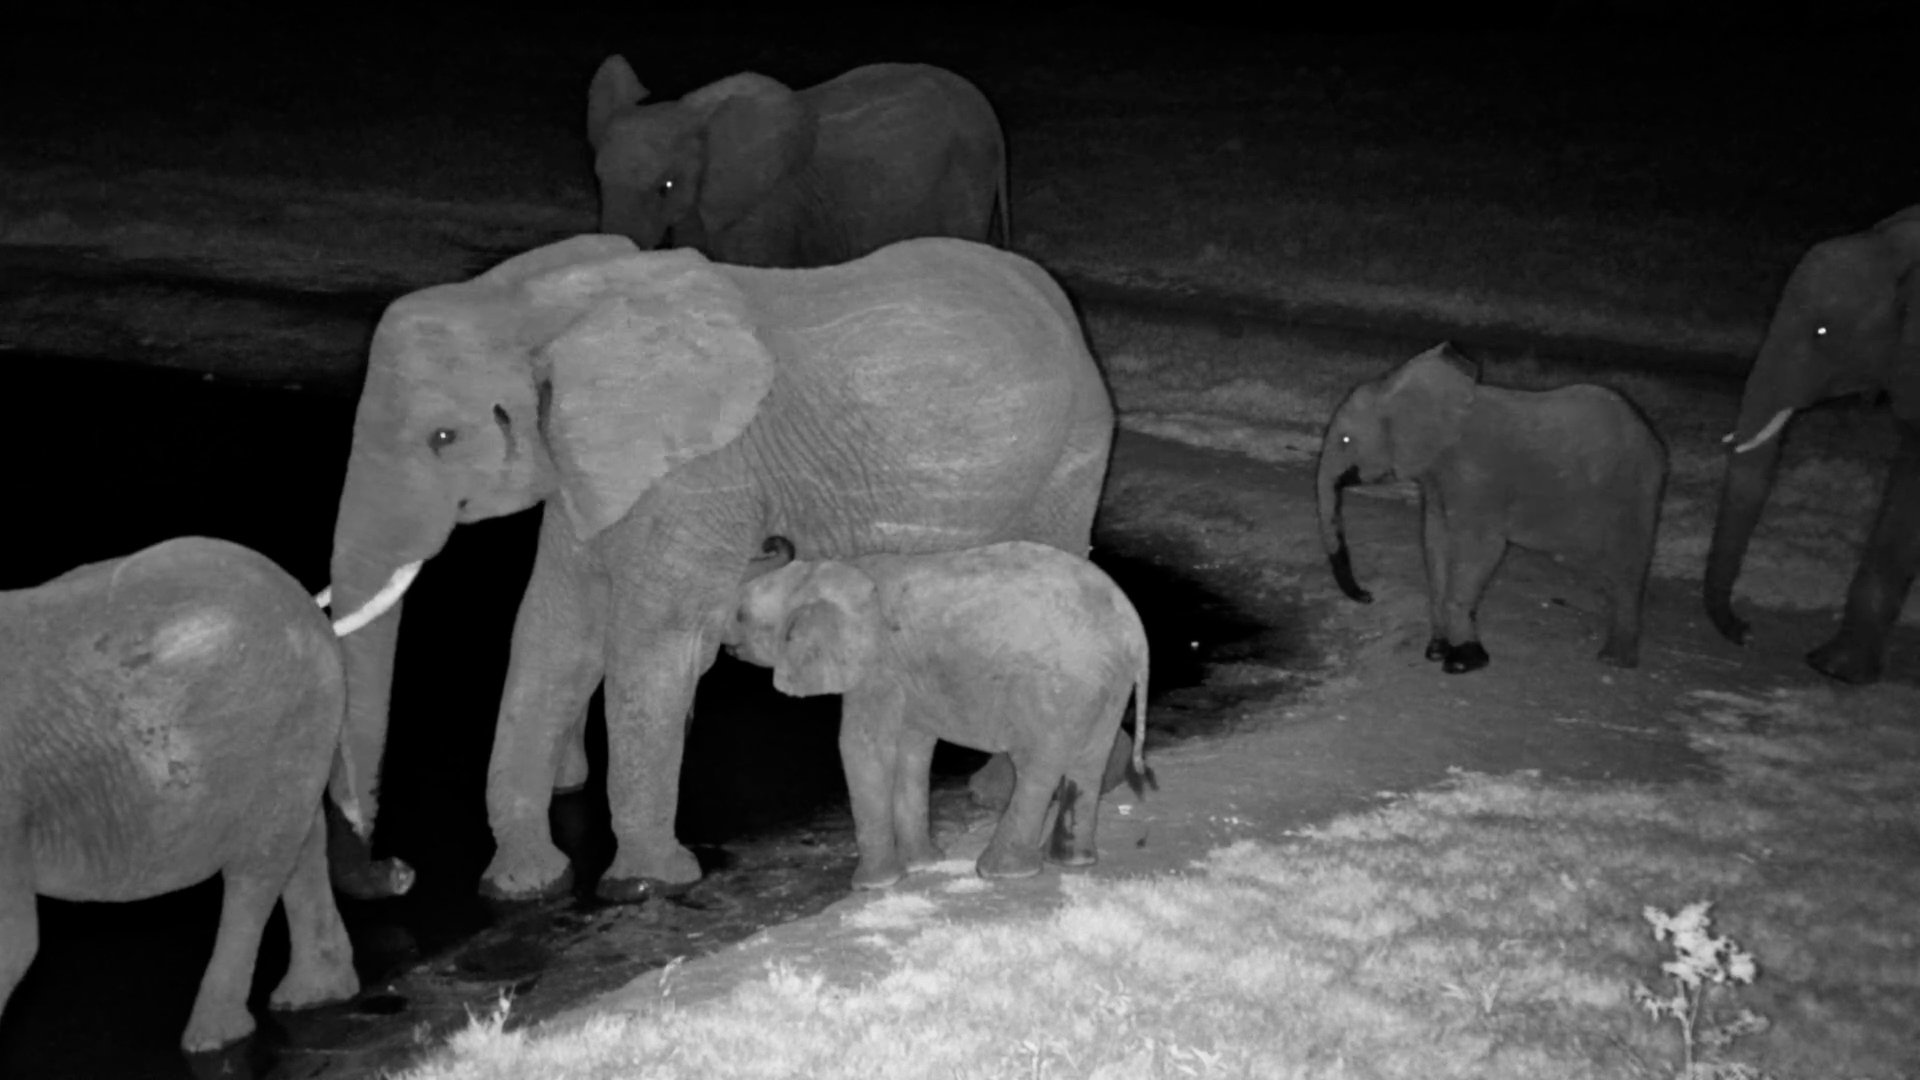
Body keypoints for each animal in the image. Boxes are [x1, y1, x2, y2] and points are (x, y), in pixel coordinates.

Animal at [0, 537, 361, 1052]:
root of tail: (309, 606)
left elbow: (12, 941)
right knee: (301, 845)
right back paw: (314, 996)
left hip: (289, 719)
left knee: (256, 870)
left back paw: (212, 1039)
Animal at [724, 540, 1149, 887]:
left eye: (741, 615)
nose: (770, 540)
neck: (832, 570)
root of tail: (1136, 634)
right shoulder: (907, 676)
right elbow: (913, 750)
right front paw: (923, 865)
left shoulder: (876, 667)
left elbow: (863, 749)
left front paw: (874, 885)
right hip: (1106, 684)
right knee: (1089, 761)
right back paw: (1070, 862)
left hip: (1056, 687)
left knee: (1037, 765)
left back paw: (1000, 872)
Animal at [1318, 344, 1668, 673]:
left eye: (1345, 440)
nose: (1368, 596)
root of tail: (1650, 434)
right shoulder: (1437, 476)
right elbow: (1435, 540)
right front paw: (1437, 651)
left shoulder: (1475, 475)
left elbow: (1480, 549)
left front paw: (1463, 663)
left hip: (1636, 487)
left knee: (1627, 567)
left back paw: (1614, 660)